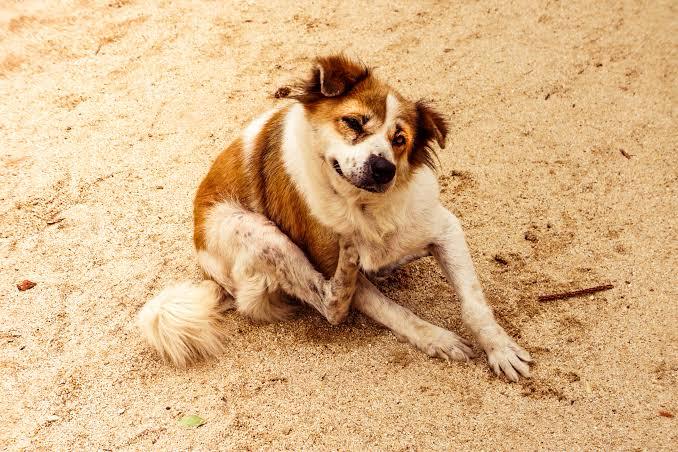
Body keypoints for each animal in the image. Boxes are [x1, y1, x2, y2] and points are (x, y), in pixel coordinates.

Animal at [138, 55, 532, 381]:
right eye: (354, 123)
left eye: (400, 139)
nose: (384, 169)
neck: (364, 207)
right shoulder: (328, 260)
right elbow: (397, 313)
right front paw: (439, 339)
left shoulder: (444, 228)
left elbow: (474, 303)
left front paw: (501, 349)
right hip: (254, 231)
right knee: (330, 305)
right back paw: (352, 262)